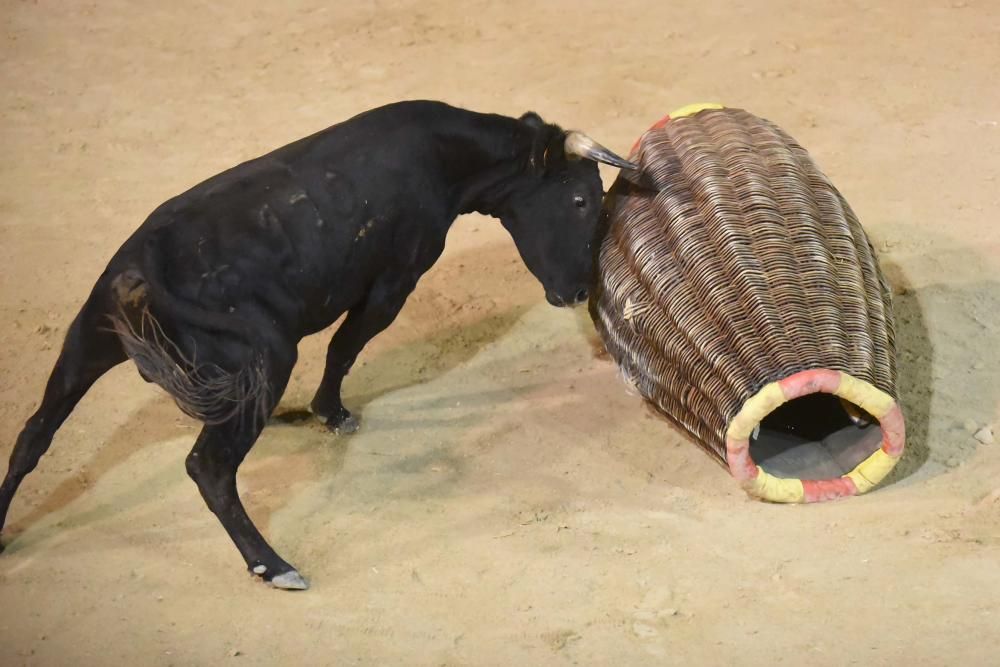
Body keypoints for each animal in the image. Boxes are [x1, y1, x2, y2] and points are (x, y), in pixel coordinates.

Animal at [0, 99, 632, 588]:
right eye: (580, 199)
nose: (579, 290)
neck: (444, 159)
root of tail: (139, 276)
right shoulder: (393, 282)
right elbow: (344, 348)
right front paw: (331, 413)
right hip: (266, 359)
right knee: (209, 466)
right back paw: (274, 565)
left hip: (83, 345)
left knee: (32, 437)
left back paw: (4, 531)